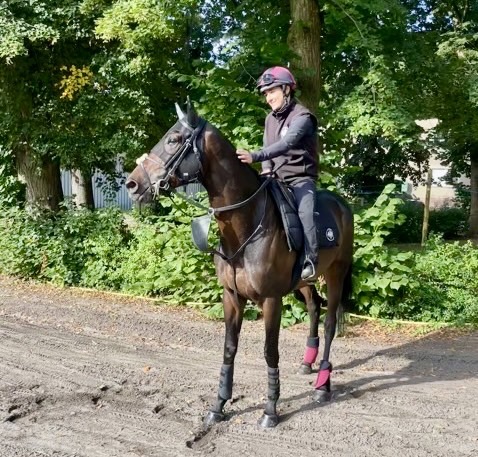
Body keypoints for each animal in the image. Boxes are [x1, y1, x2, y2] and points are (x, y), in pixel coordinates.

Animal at [125, 100, 352, 428]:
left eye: (174, 139)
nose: (132, 183)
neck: (246, 226)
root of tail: (342, 206)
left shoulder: (271, 300)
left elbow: (270, 352)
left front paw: (270, 409)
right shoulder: (231, 297)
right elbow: (229, 349)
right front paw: (219, 405)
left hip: (336, 275)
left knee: (330, 322)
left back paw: (323, 384)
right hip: (305, 282)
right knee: (313, 308)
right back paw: (307, 363)